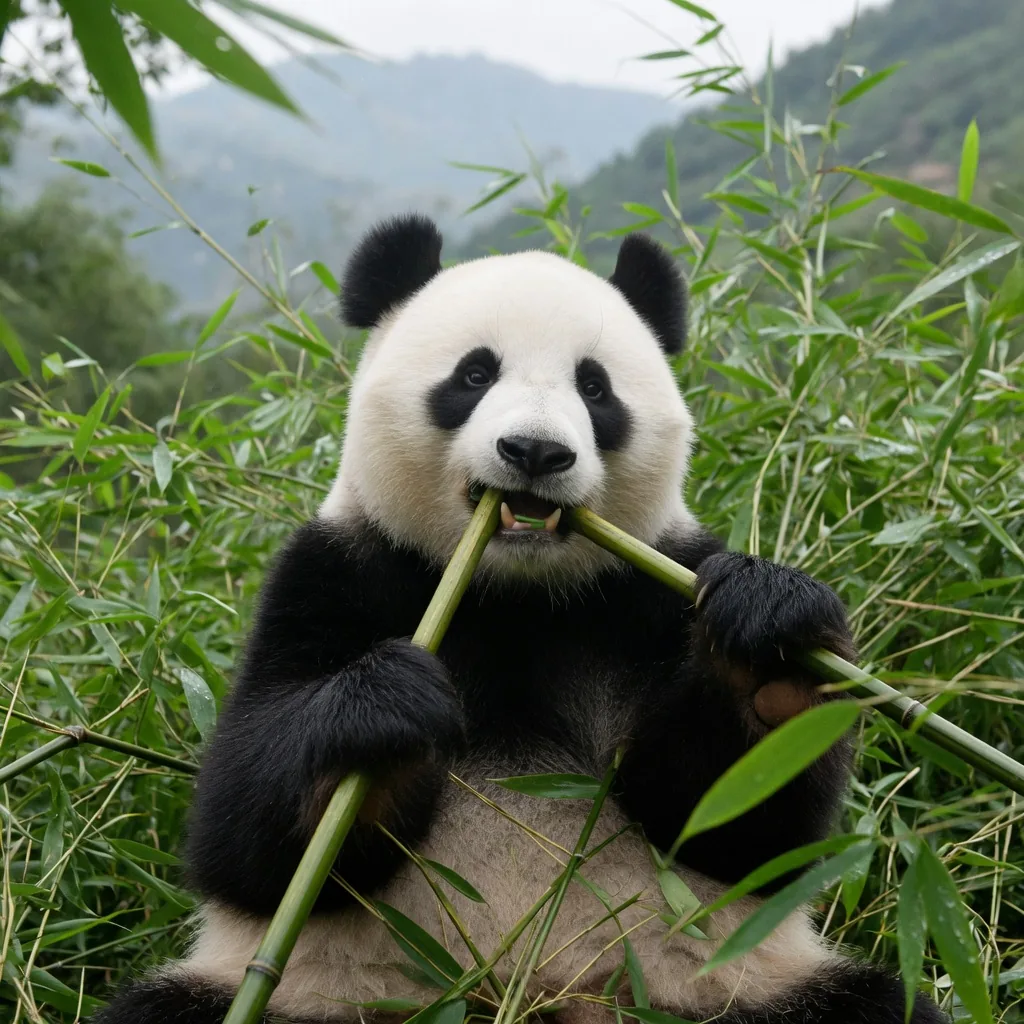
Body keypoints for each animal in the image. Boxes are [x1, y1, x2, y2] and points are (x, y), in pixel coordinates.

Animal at [93, 215, 947, 1024]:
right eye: (475, 374)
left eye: (595, 389)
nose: (535, 451)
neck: (513, 593)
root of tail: (525, 996)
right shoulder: (336, 575)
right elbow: (241, 835)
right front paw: (386, 709)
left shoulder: (647, 593)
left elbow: (740, 827)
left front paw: (767, 648)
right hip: (319, 994)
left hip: (727, 987)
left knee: (883, 1005)